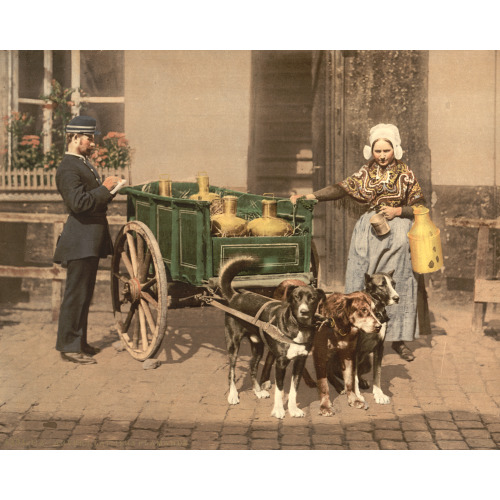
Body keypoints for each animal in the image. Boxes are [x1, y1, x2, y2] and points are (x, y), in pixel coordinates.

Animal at [219, 258, 324, 418]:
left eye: (312, 298)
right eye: (296, 298)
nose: (304, 312)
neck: (299, 327)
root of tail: (235, 296)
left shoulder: (300, 362)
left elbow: (294, 389)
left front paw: (293, 409)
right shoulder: (280, 363)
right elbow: (279, 390)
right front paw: (279, 410)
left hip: (258, 347)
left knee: (252, 366)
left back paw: (258, 391)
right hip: (233, 345)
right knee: (232, 371)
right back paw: (233, 395)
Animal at [328, 272, 398, 404]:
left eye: (394, 284)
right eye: (382, 285)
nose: (397, 298)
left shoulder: (379, 348)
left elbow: (377, 373)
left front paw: (379, 394)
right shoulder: (354, 348)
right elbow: (353, 376)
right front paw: (357, 395)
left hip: (367, 361)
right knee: (330, 372)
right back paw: (340, 386)